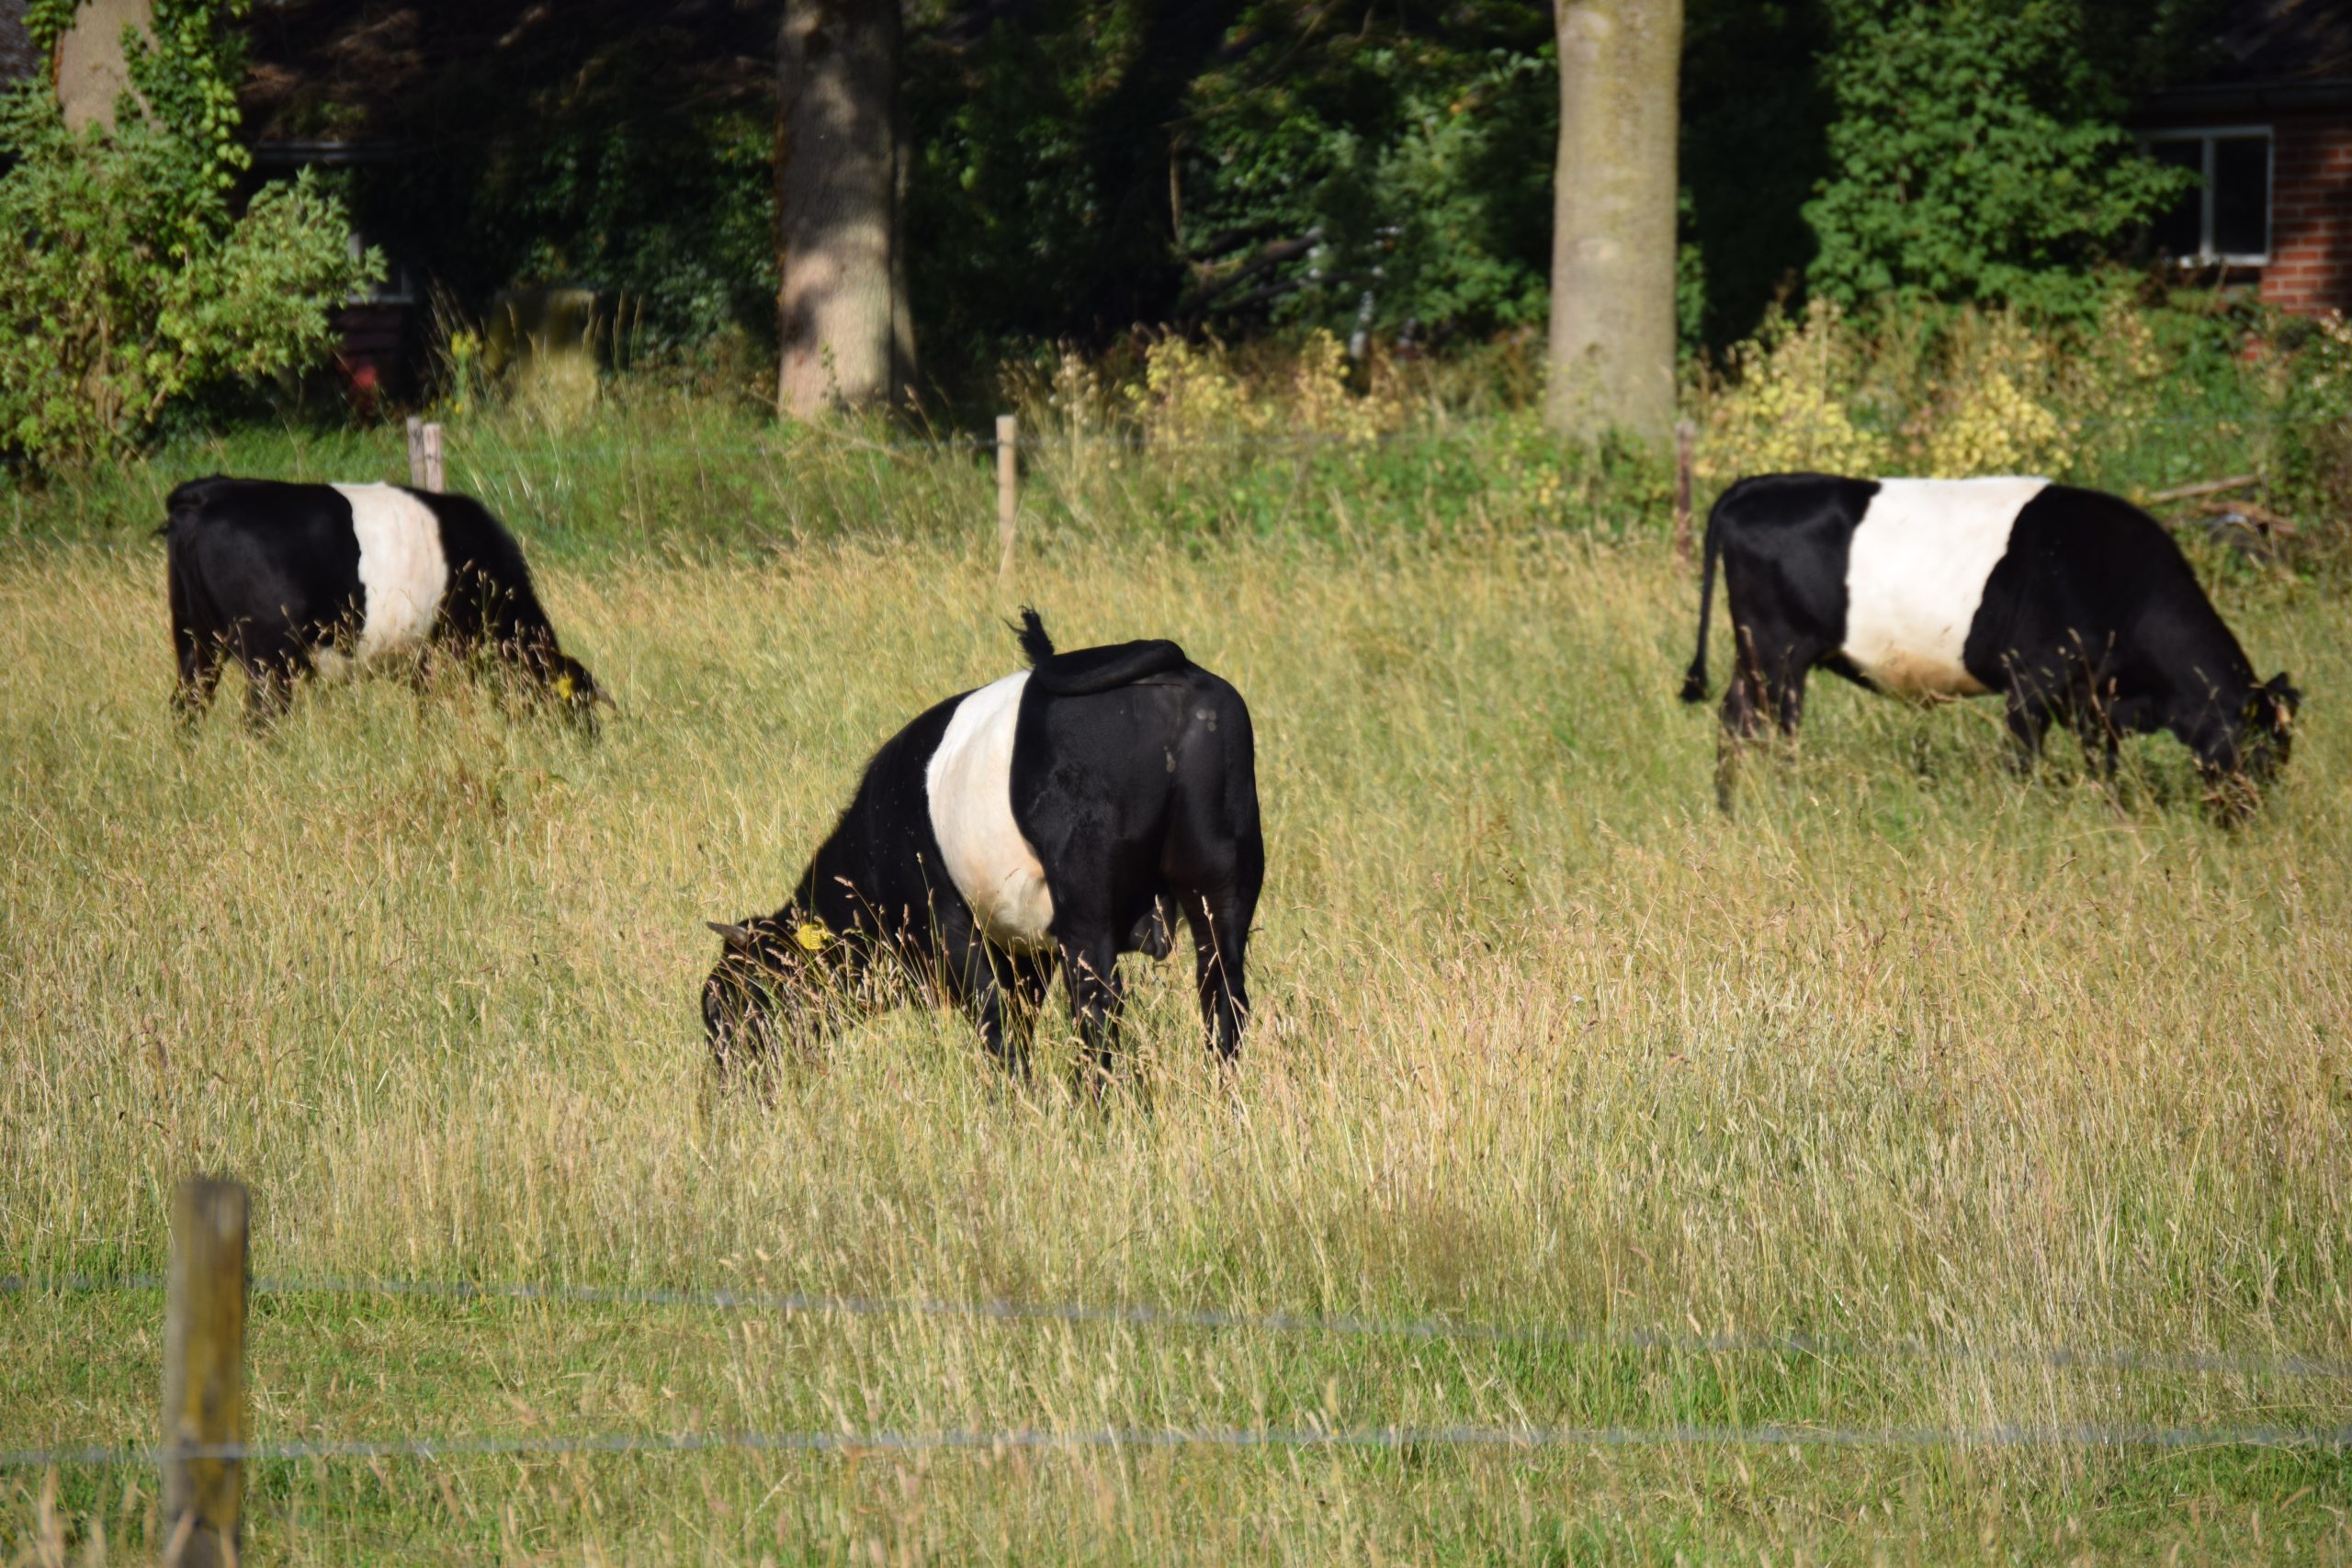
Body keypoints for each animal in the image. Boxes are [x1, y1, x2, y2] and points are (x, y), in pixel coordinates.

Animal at [162, 474, 606, 728]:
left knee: (188, 708)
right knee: (260, 720)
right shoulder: (441, 657)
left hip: (194, 639)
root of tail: (206, 493)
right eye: (578, 708)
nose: (588, 745)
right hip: (268, 655)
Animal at [700, 611, 1270, 1090]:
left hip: (1086, 903)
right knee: (1224, 997)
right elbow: (1018, 1017)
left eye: (734, 1005)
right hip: (1225, 882)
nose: (731, 1087)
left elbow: (994, 1020)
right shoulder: (1026, 949)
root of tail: (1169, 665)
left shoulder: (950, 923)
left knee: (1097, 1007)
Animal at [1683, 474, 2304, 808]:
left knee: (1735, 719)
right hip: (1779, 652)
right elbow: (2023, 759)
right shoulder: (2033, 680)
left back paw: (1730, 807)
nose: (2249, 815)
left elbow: (2101, 764)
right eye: (2260, 748)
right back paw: (1783, 798)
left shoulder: (2094, 699)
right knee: (1770, 728)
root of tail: (1756, 484)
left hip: (1754, 653)